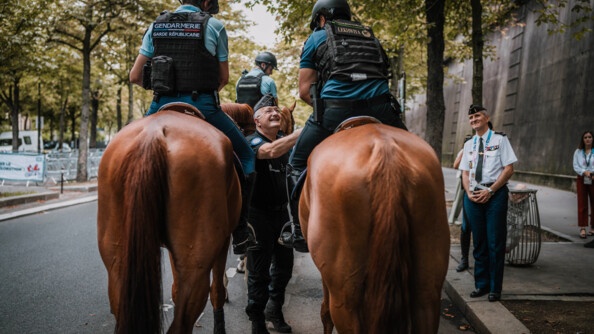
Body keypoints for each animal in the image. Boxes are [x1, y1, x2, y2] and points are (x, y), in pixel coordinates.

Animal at [96, 107, 239, 334]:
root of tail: (153, 133)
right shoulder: (223, 242)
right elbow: (217, 290)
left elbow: (176, 289)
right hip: (195, 267)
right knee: (182, 323)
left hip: (117, 262)